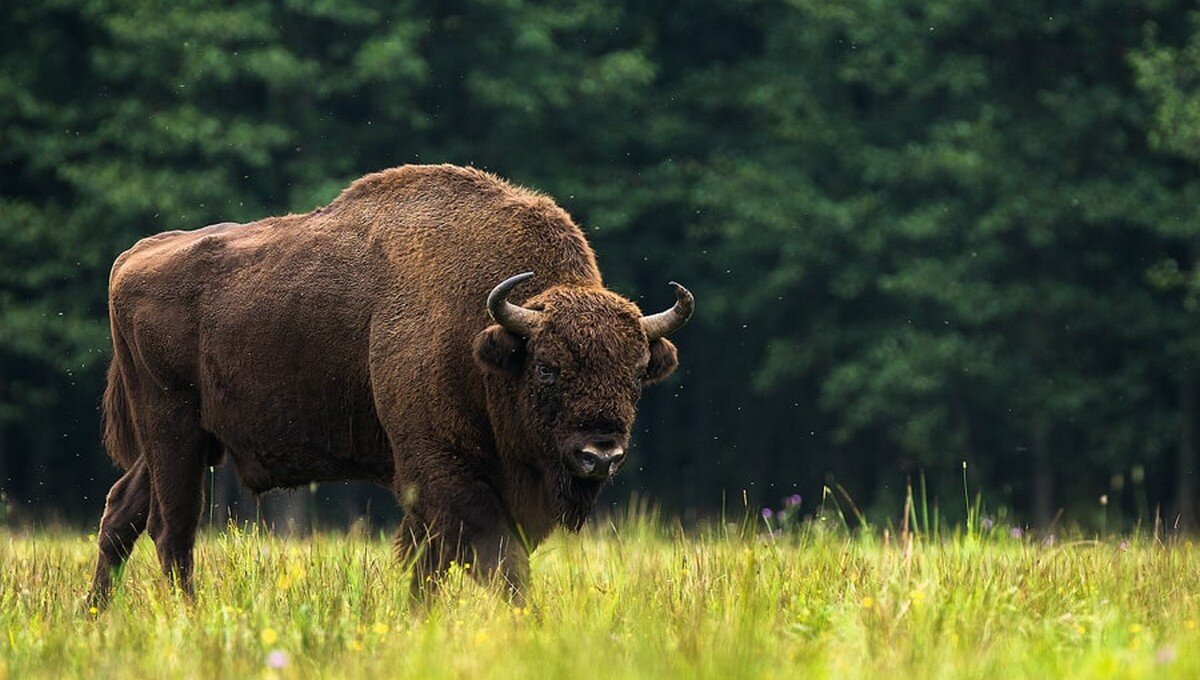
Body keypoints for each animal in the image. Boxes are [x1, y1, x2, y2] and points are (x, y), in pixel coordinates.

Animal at [88, 165, 696, 606]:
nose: (600, 454)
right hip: (173, 430)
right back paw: (185, 614)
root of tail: (131, 257)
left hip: (191, 440)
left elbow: (433, 564)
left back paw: (97, 614)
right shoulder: (443, 472)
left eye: (635, 373)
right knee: (172, 529)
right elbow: (498, 561)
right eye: (547, 367)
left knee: (122, 512)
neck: (485, 335)